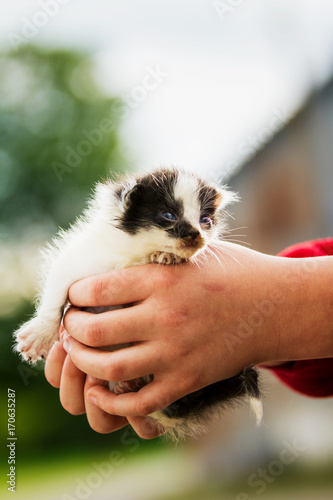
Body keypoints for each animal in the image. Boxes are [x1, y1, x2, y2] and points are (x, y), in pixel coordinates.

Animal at [13, 167, 262, 438]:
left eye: (205, 219)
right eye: (168, 215)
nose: (196, 235)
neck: (135, 254)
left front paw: (166, 256)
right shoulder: (80, 259)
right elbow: (57, 290)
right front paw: (39, 335)